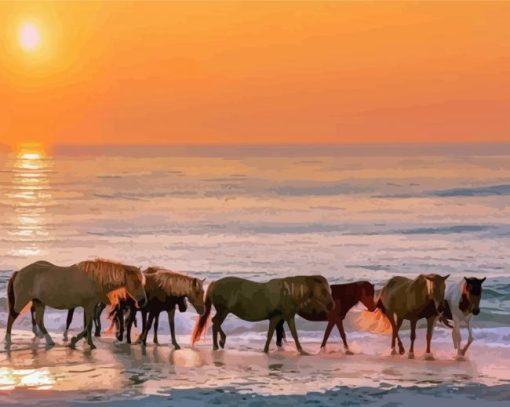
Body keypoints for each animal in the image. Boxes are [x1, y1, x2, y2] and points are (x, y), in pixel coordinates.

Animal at [4, 260, 146, 350]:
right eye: (136, 281)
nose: (143, 301)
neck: (94, 279)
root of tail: (19, 272)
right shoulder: (89, 305)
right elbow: (88, 325)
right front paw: (81, 343)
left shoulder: (90, 306)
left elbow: (88, 325)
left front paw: (82, 342)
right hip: (22, 301)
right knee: (12, 317)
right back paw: (7, 340)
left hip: (39, 302)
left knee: (39, 321)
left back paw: (49, 340)